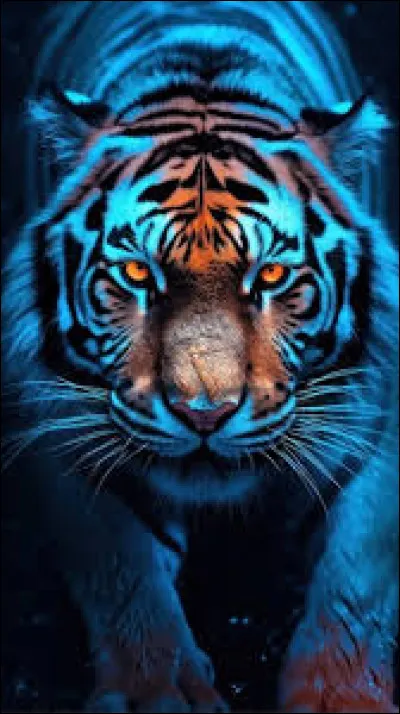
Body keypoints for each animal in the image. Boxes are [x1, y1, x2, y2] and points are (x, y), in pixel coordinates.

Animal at [2, 1, 398, 712]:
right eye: (137, 272)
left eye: (271, 276)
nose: (204, 412)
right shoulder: (64, 432)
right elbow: (122, 571)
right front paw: (154, 691)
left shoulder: (372, 430)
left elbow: (357, 579)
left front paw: (340, 697)